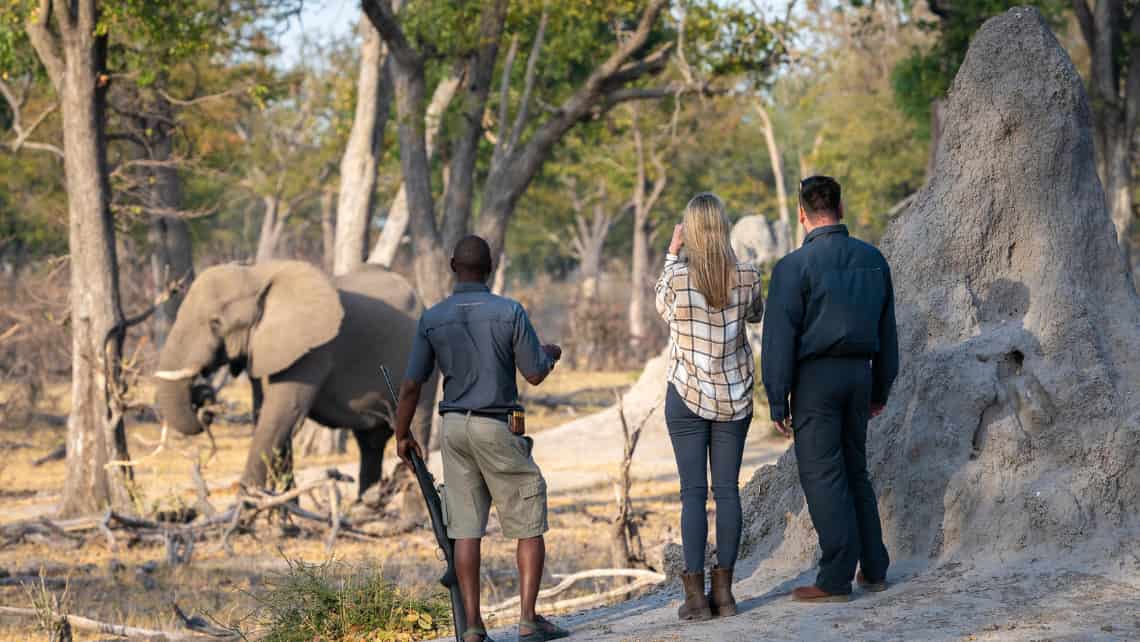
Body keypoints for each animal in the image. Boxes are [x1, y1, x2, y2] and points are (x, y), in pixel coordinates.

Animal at [152, 259, 435, 497]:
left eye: (215, 323)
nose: (203, 399)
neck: (257, 273)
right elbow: (267, 417)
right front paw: (282, 509)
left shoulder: (313, 351)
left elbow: (281, 416)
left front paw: (246, 506)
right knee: (370, 443)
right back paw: (366, 503)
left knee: (414, 430)